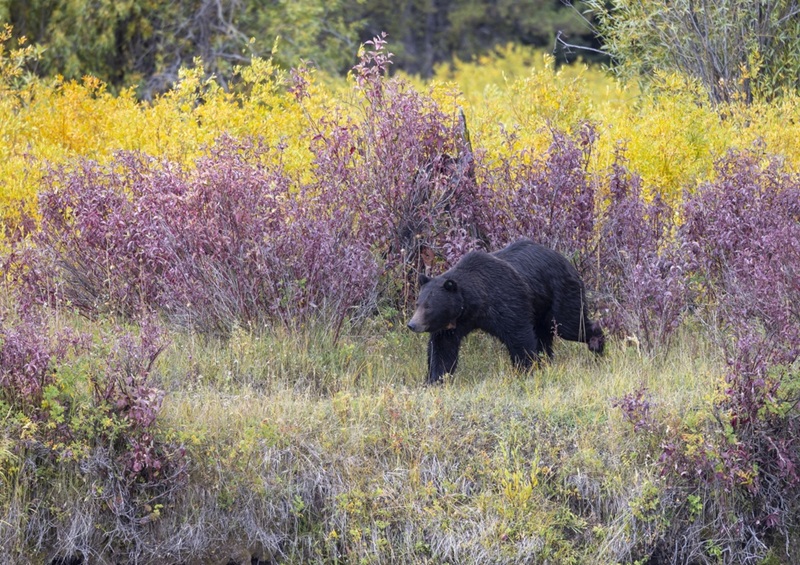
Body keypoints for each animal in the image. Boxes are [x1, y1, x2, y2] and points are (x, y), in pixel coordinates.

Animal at [407, 238, 604, 384]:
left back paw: (597, 343)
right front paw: (435, 379)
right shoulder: (454, 323)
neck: (474, 303)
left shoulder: (506, 300)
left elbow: (519, 335)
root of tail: (567, 262)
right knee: (545, 335)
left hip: (559, 294)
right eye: (418, 303)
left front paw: (526, 370)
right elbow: (442, 349)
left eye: (428, 306)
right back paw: (547, 361)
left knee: (569, 324)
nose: (412, 324)